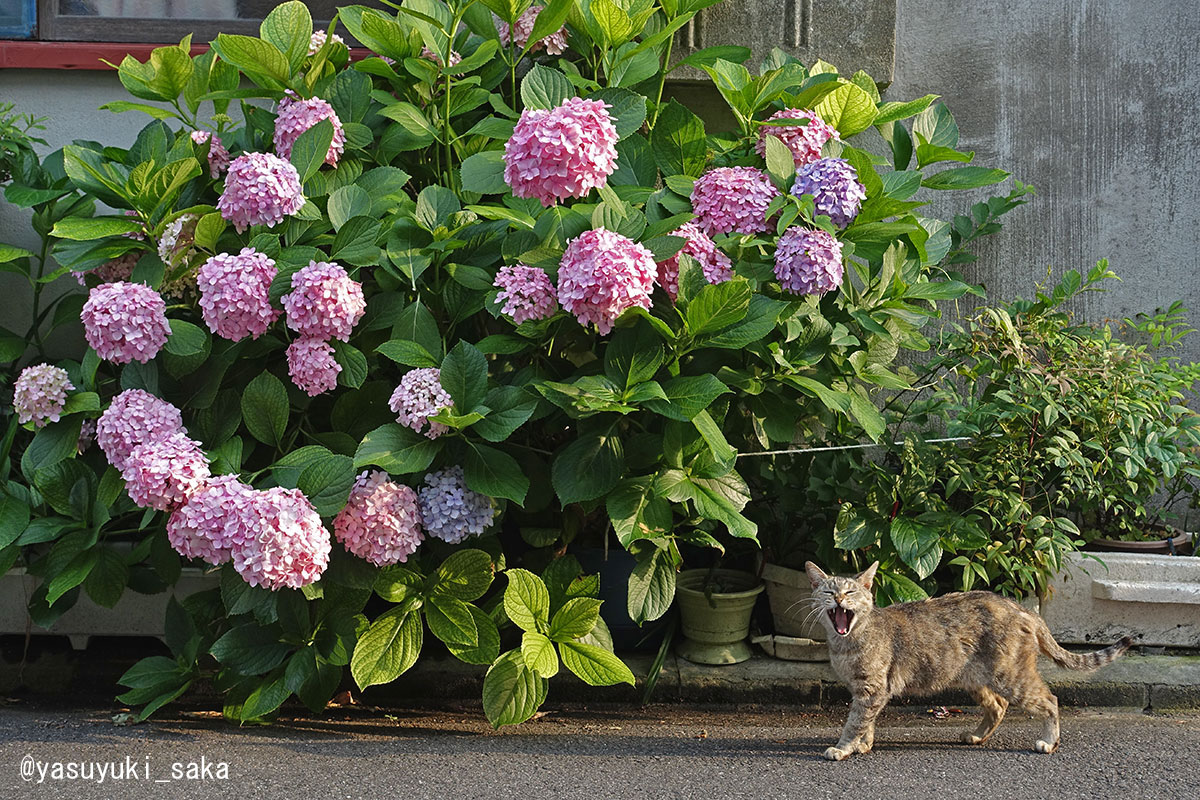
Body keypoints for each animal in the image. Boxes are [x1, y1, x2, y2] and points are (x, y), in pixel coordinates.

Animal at [806, 561, 1132, 762]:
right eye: (828, 590)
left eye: (850, 591)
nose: (838, 599)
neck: (848, 642)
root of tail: (1025, 610)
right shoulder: (867, 691)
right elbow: (867, 722)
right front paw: (863, 745)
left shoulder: (872, 689)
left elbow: (855, 722)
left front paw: (843, 748)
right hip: (977, 678)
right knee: (998, 707)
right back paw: (976, 736)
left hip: (1010, 677)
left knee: (1050, 700)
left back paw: (1049, 742)